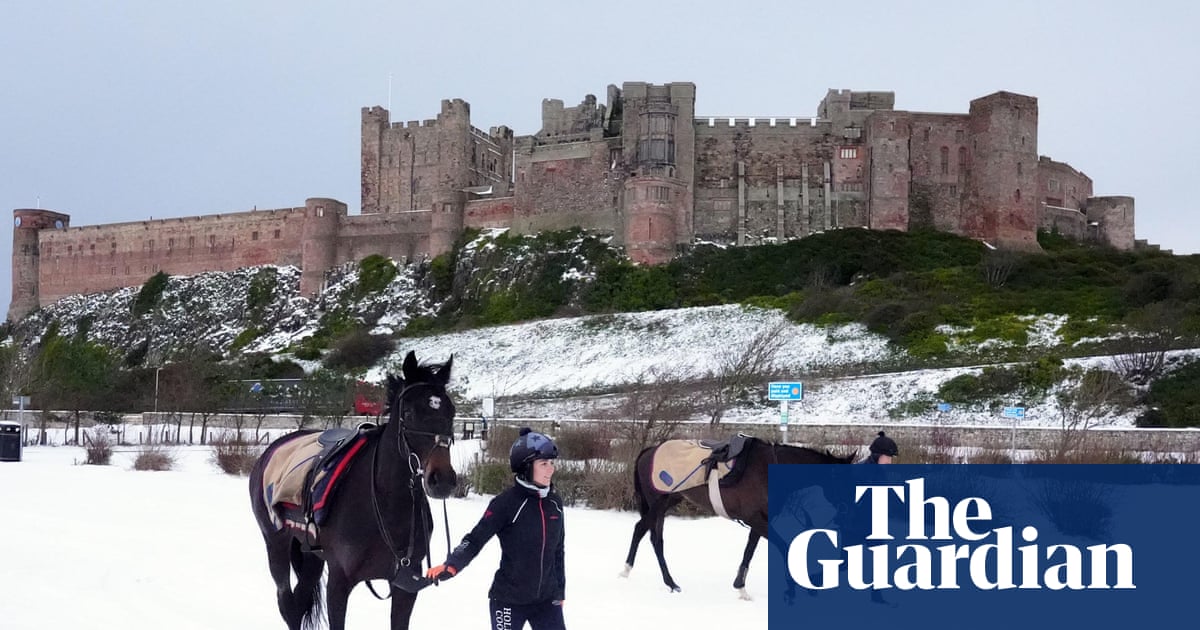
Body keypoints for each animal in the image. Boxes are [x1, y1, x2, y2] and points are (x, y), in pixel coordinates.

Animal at [249, 350, 457, 630]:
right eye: (410, 412)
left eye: (451, 411)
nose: (442, 479)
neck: (385, 505)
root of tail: (270, 451)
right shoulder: (339, 583)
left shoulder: (405, 588)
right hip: (276, 545)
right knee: (288, 605)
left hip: (312, 555)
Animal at [620, 437, 855, 600]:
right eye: (842, 480)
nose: (848, 508)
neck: (767, 470)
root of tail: (649, 451)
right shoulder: (755, 519)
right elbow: (784, 546)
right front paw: (794, 588)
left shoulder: (759, 520)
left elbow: (749, 551)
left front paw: (741, 588)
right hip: (658, 502)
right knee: (641, 529)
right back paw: (627, 571)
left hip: (669, 500)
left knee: (655, 538)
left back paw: (670, 582)